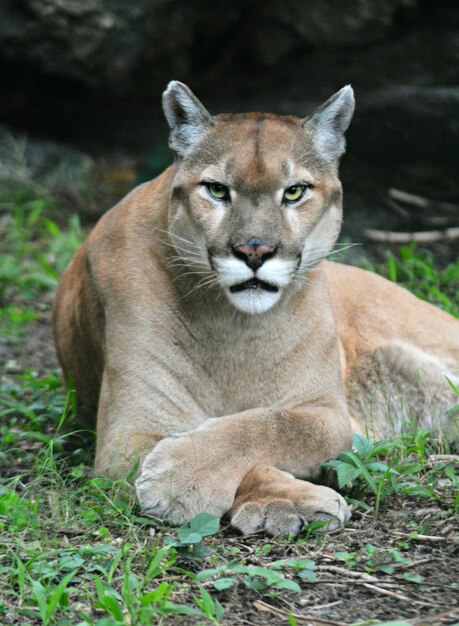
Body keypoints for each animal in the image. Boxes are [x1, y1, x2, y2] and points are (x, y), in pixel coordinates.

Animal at [52, 80, 458, 532]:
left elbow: (271, 425)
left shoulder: (327, 413)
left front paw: (189, 474)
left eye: (295, 191)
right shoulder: (131, 432)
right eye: (216, 189)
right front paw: (257, 495)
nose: (254, 251)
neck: (234, 325)